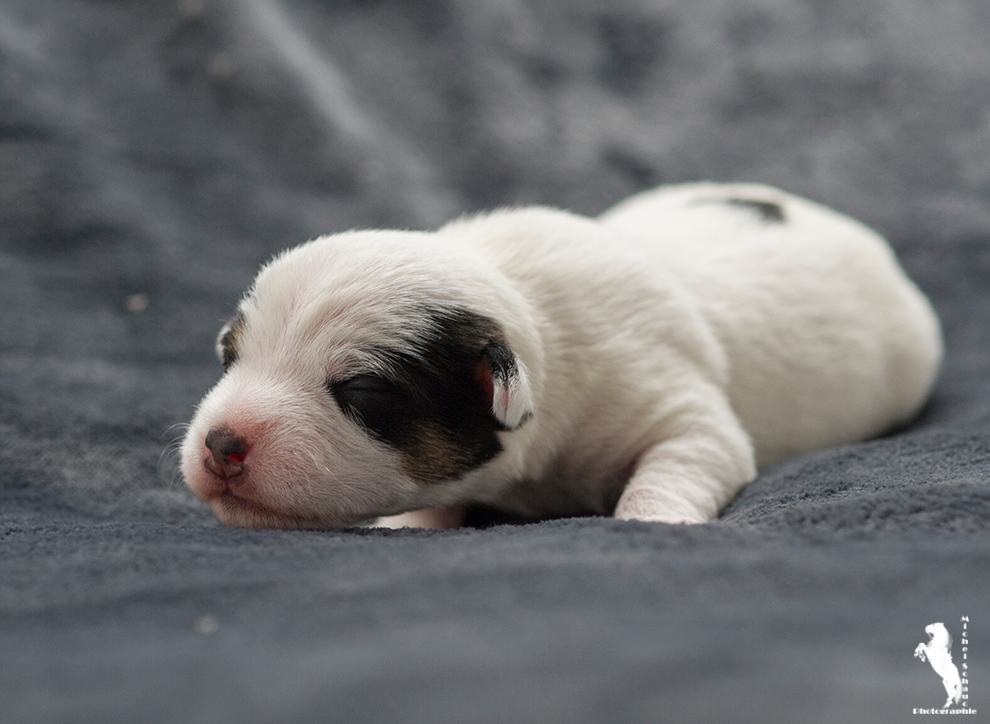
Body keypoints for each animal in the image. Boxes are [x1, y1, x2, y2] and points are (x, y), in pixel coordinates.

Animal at [180, 184, 944, 528]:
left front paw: (649, 521)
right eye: (229, 358)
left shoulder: (671, 401)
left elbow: (691, 454)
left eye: (363, 394)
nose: (221, 444)